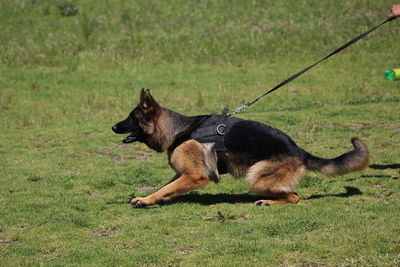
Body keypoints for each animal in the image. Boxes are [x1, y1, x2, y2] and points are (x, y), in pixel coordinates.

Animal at [111, 89, 368, 208]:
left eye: (132, 118)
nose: (112, 126)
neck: (178, 131)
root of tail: (298, 150)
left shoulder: (195, 175)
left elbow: (167, 187)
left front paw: (147, 200)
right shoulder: (183, 173)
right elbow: (167, 187)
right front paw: (149, 198)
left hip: (256, 176)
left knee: (294, 197)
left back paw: (268, 202)